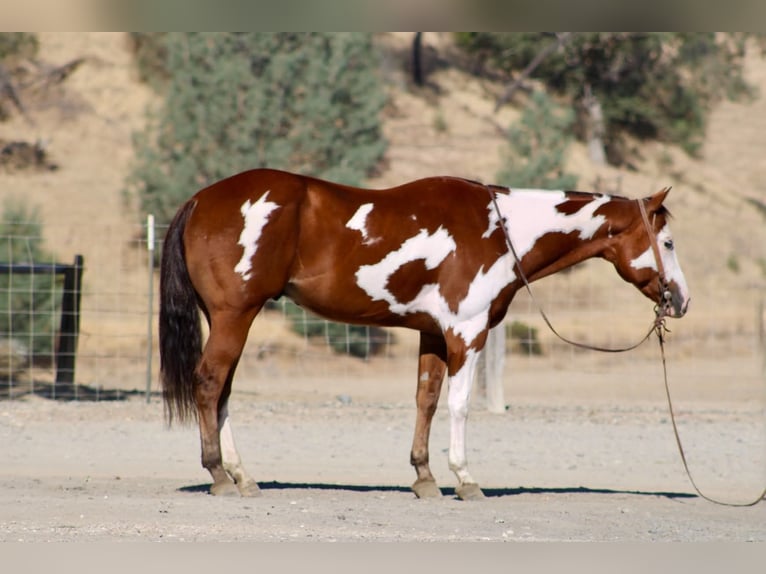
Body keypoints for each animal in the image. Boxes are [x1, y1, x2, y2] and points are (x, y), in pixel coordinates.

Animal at [159, 168, 690, 500]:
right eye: (666, 242)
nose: (681, 300)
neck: (501, 228)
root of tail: (200, 199)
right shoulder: (466, 333)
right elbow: (459, 404)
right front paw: (465, 478)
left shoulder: (434, 335)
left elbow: (427, 400)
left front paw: (424, 477)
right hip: (235, 315)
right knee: (209, 383)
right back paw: (219, 474)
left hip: (229, 318)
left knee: (223, 391)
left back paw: (242, 476)